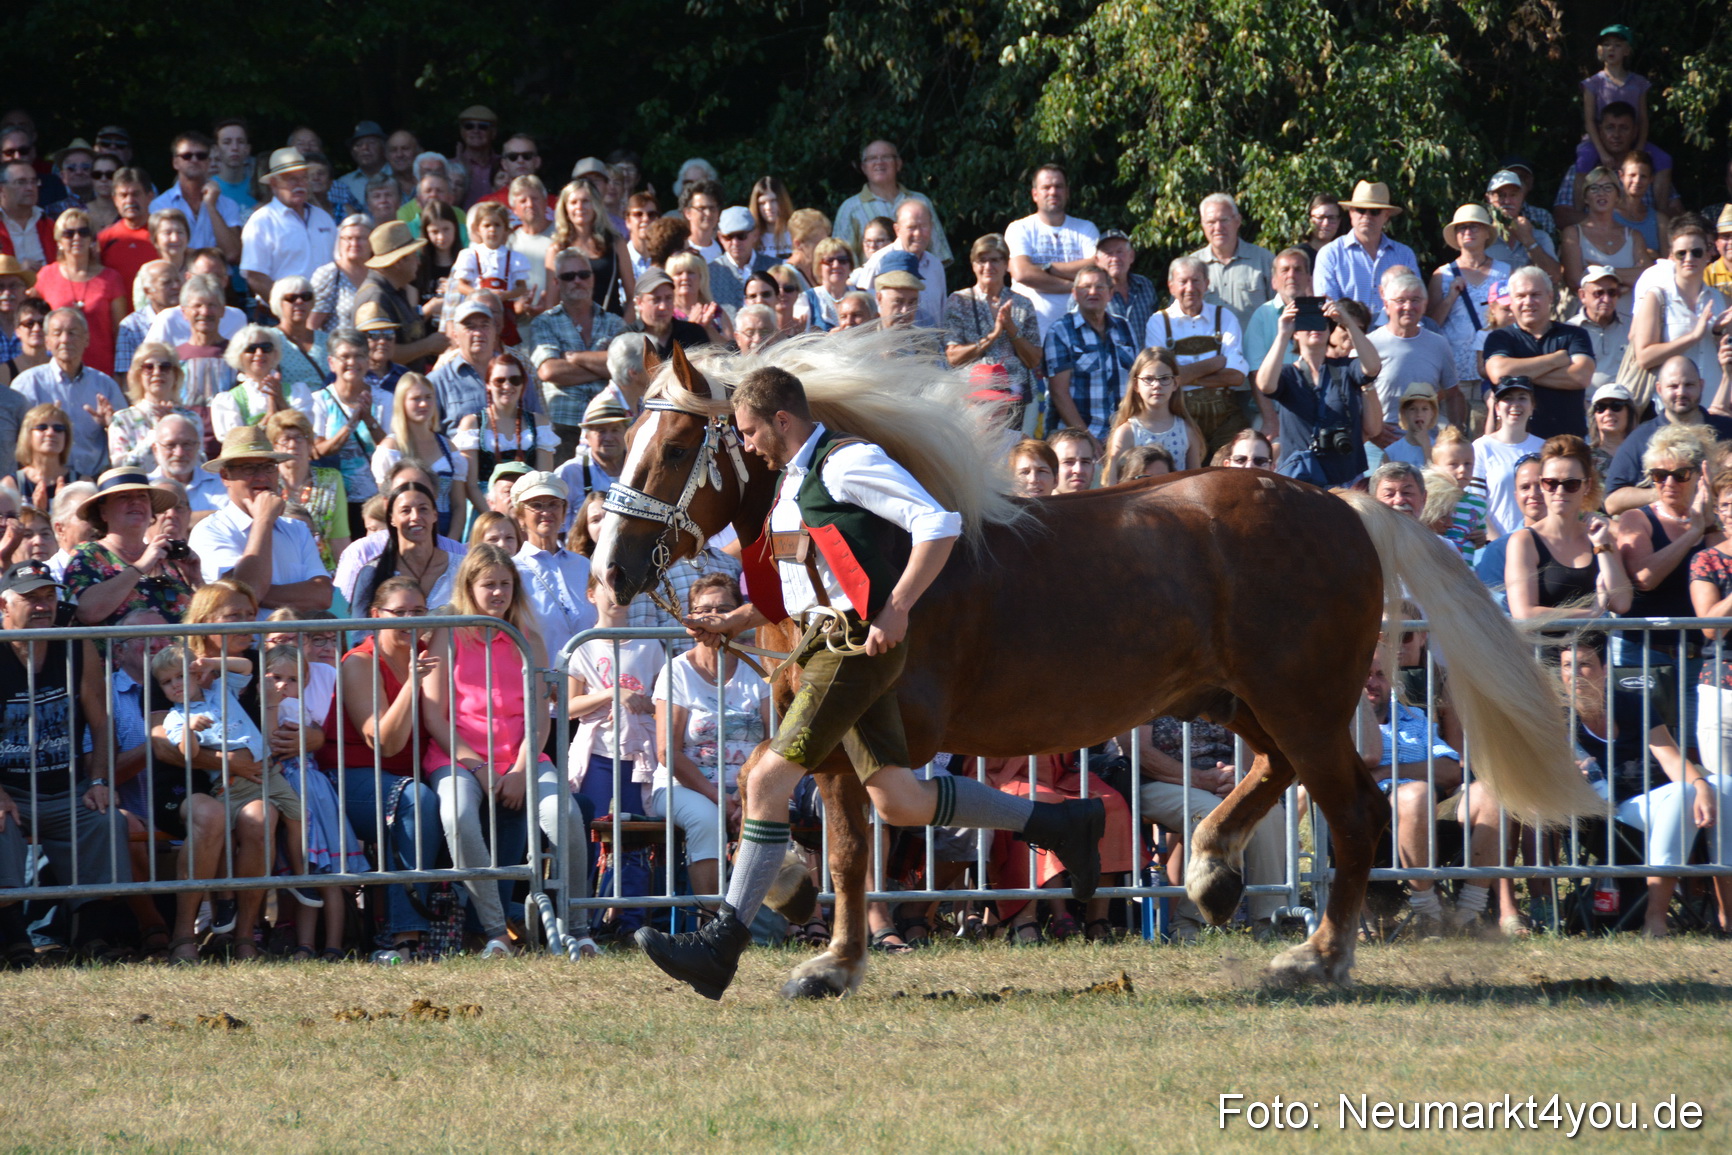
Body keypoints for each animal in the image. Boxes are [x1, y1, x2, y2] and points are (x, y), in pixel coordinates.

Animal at [593, 329, 1598, 996]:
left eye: (674, 446)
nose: (608, 569)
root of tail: (1346, 505)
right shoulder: (837, 725)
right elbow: (832, 841)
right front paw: (825, 951)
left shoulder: (868, 720)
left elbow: (810, 812)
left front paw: (772, 938)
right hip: (1242, 698)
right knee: (1282, 777)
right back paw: (1211, 870)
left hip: (1299, 698)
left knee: (1353, 809)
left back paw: (1315, 954)